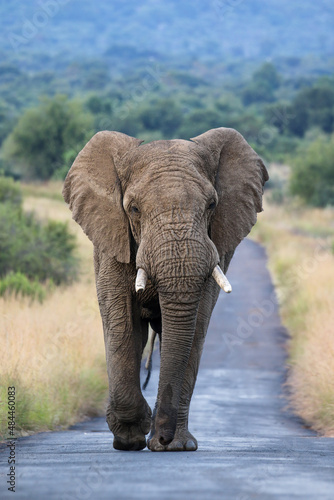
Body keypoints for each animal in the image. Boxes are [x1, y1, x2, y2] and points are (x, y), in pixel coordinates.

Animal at [61, 127, 268, 452]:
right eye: (133, 209)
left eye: (212, 205)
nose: (162, 437)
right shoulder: (113, 238)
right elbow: (122, 321)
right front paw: (130, 437)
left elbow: (195, 327)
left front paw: (168, 443)